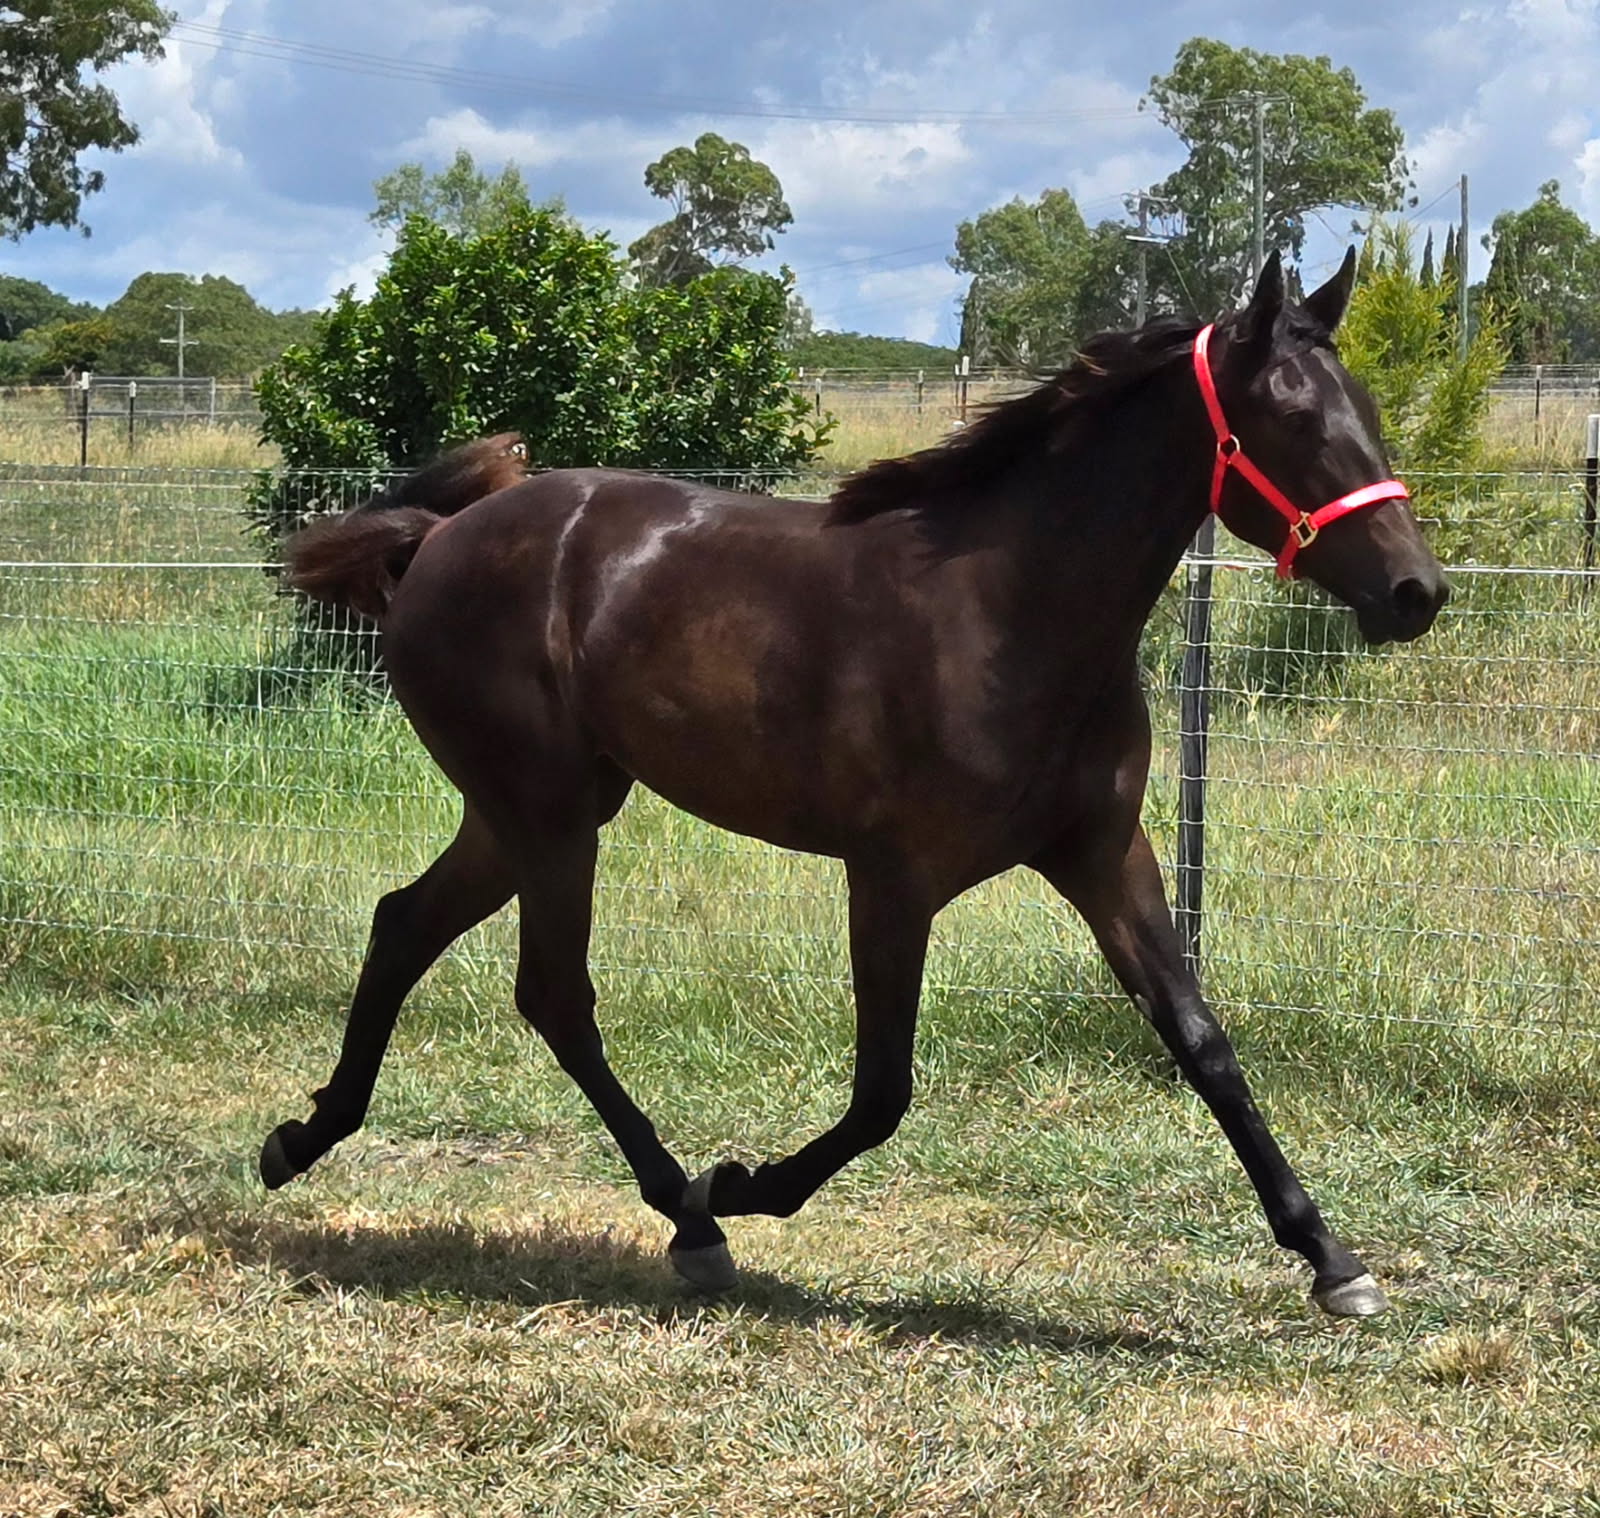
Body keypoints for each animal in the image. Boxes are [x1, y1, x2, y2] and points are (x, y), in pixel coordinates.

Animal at [259, 250, 1447, 1317]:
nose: (1415, 591)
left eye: (1365, 408)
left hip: (537, 810)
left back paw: (301, 1138)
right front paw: (743, 1184)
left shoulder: (1103, 852)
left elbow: (1202, 1041)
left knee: (405, 924)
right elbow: (883, 1091)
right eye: (1292, 418)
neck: (1007, 613)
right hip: (545, 813)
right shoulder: (892, 877)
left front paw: (1333, 1260)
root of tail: (439, 538)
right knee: (552, 993)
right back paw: (689, 1219)